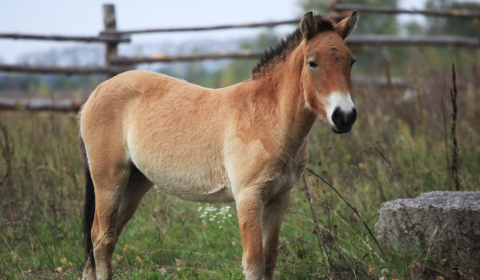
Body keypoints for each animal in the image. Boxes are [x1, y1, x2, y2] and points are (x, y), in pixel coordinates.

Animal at [78, 11, 356, 280]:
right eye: (312, 62)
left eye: (351, 61)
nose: (345, 116)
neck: (266, 118)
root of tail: (96, 92)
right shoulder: (248, 197)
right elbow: (254, 264)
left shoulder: (279, 199)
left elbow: (269, 261)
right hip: (109, 181)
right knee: (102, 239)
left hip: (134, 184)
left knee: (105, 238)